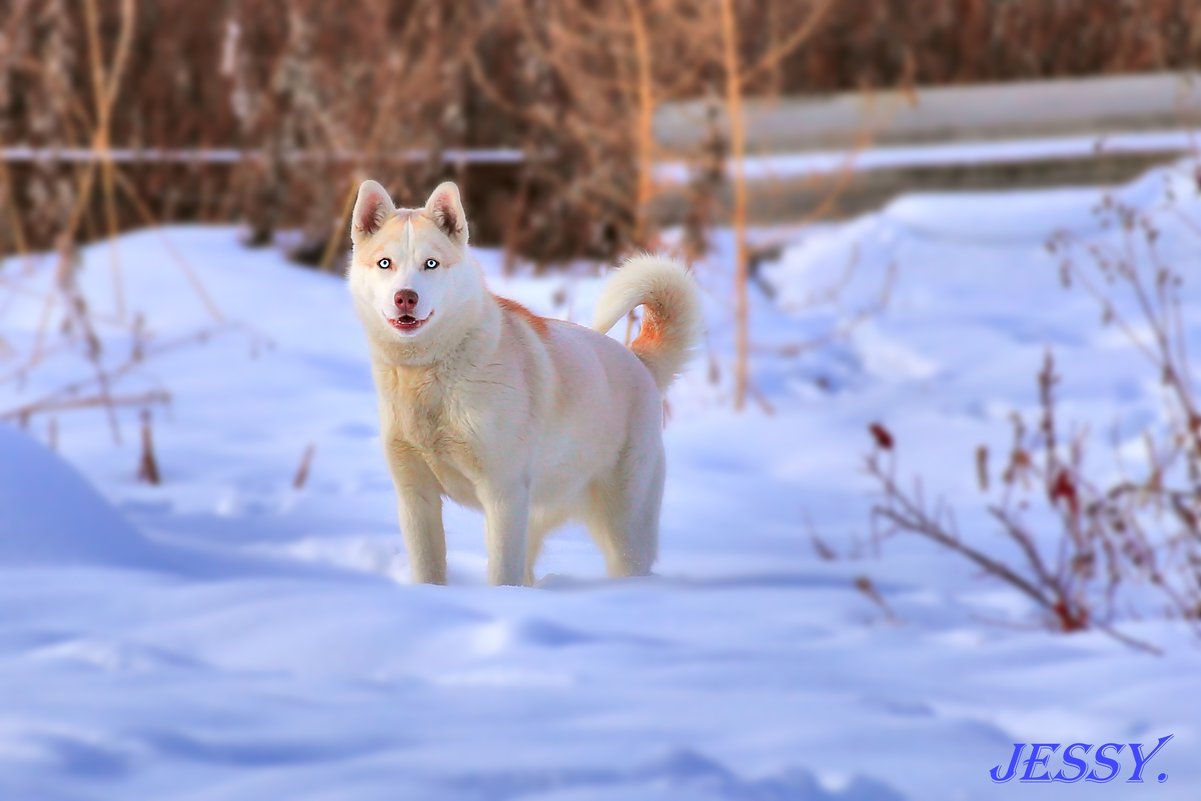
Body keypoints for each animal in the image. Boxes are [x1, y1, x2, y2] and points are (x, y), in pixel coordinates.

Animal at [348, 180, 701, 583]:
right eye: (385, 263)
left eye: (430, 264)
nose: (405, 297)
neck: (432, 374)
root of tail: (639, 361)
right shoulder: (415, 496)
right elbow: (429, 570)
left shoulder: (503, 494)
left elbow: (502, 575)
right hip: (536, 518)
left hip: (624, 532)